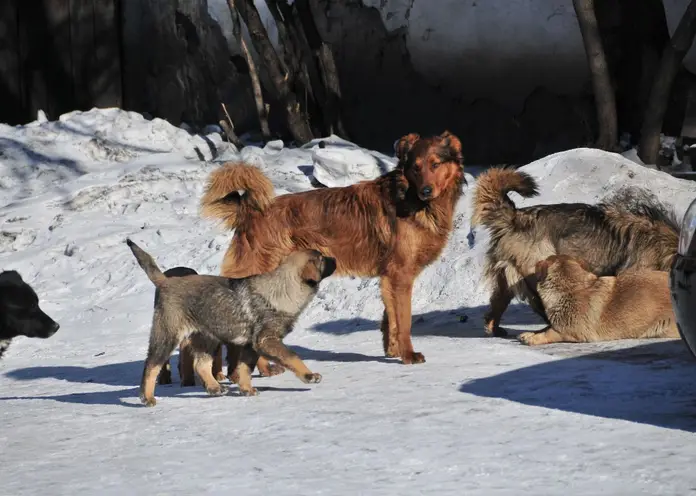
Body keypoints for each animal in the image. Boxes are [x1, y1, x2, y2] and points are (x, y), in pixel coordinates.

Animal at [125, 239, 338, 406]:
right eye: (322, 258)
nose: (335, 259)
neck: (283, 288)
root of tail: (165, 281)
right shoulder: (266, 340)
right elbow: (292, 356)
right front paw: (309, 376)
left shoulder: (251, 345)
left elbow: (244, 367)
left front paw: (246, 389)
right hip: (168, 336)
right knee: (151, 365)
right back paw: (147, 397)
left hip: (206, 338)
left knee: (201, 364)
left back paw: (214, 388)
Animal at [182, 129, 464, 380]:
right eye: (415, 168)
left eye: (435, 164)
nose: (426, 191)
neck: (410, 197)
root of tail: (249, 212)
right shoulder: (400, 275)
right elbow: (403, 321)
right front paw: (408, 354)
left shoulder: (390, 278)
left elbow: (390, 319)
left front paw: (393, 350)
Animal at [516, 256, 680, 344]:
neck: (570, 287)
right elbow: (546, 327)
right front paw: (531, 333)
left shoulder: (573, 331)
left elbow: (551, 331)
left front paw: (536, 338)